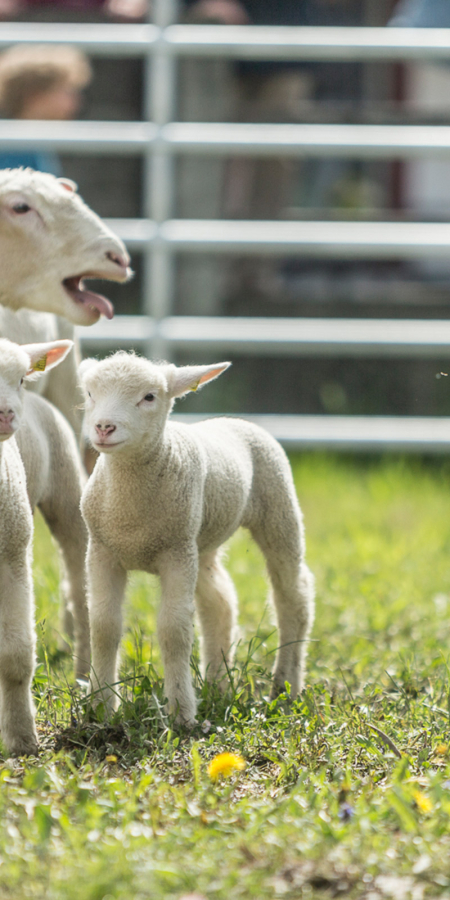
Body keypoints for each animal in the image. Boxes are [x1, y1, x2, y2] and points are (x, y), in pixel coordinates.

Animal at [79, 352, 314, 724]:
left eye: (149, 397)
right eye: (89, 393)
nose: (103, 427)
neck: (130, 515)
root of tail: (233, 420)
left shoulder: (175, 554)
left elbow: (174, 631)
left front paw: (181, 714)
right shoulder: (102, 550)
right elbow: (103, 627)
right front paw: (100, 708)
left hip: (278, 511)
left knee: (293, 595)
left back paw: (286, 685)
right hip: (201, 544)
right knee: (221, 602)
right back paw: (218, 684)